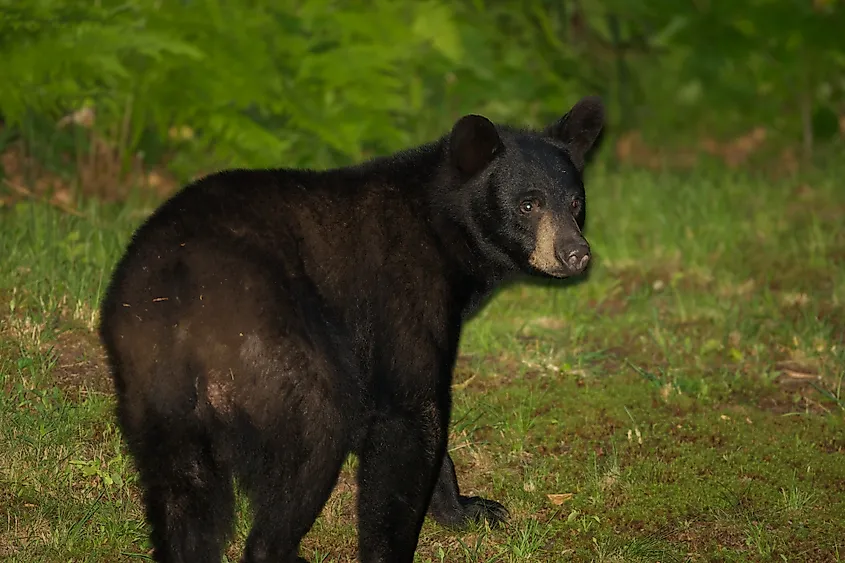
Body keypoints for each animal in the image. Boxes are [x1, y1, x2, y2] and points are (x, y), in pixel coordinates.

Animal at [98, 95, 604, 563]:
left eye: (576, 203)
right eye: (528, 204)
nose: (575, 253)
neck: (443, 229)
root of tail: (175, 302)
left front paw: (470, 509)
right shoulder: (400, 293)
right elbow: (409, 415)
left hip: (151, 385)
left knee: (183, 491)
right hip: (265, 345)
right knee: (316, 430)